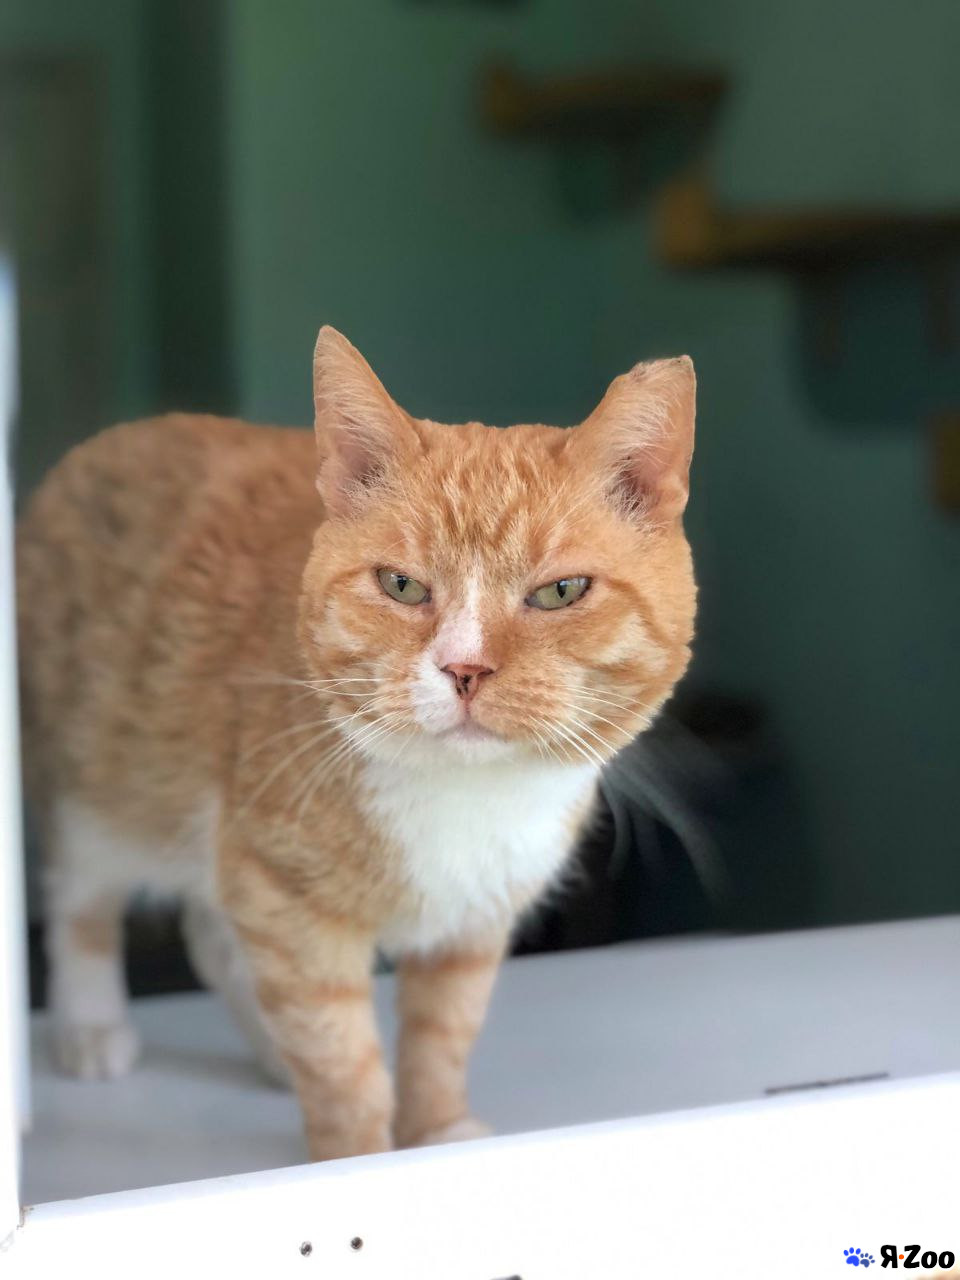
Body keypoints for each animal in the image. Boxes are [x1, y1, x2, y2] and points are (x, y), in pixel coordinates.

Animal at [15, 326, 697, 1161]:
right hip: (99, 787)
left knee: (211, 933)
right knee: (82, 899)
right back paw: (91, 1025)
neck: (464, 803)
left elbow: (441, 1036)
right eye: (401, 586)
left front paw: (437, 1133)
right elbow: (340, 1060)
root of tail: (104, 443)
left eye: (559, 592)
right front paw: (353, 1160)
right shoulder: (285, 898)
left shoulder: (472, 922)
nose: (464, 668)